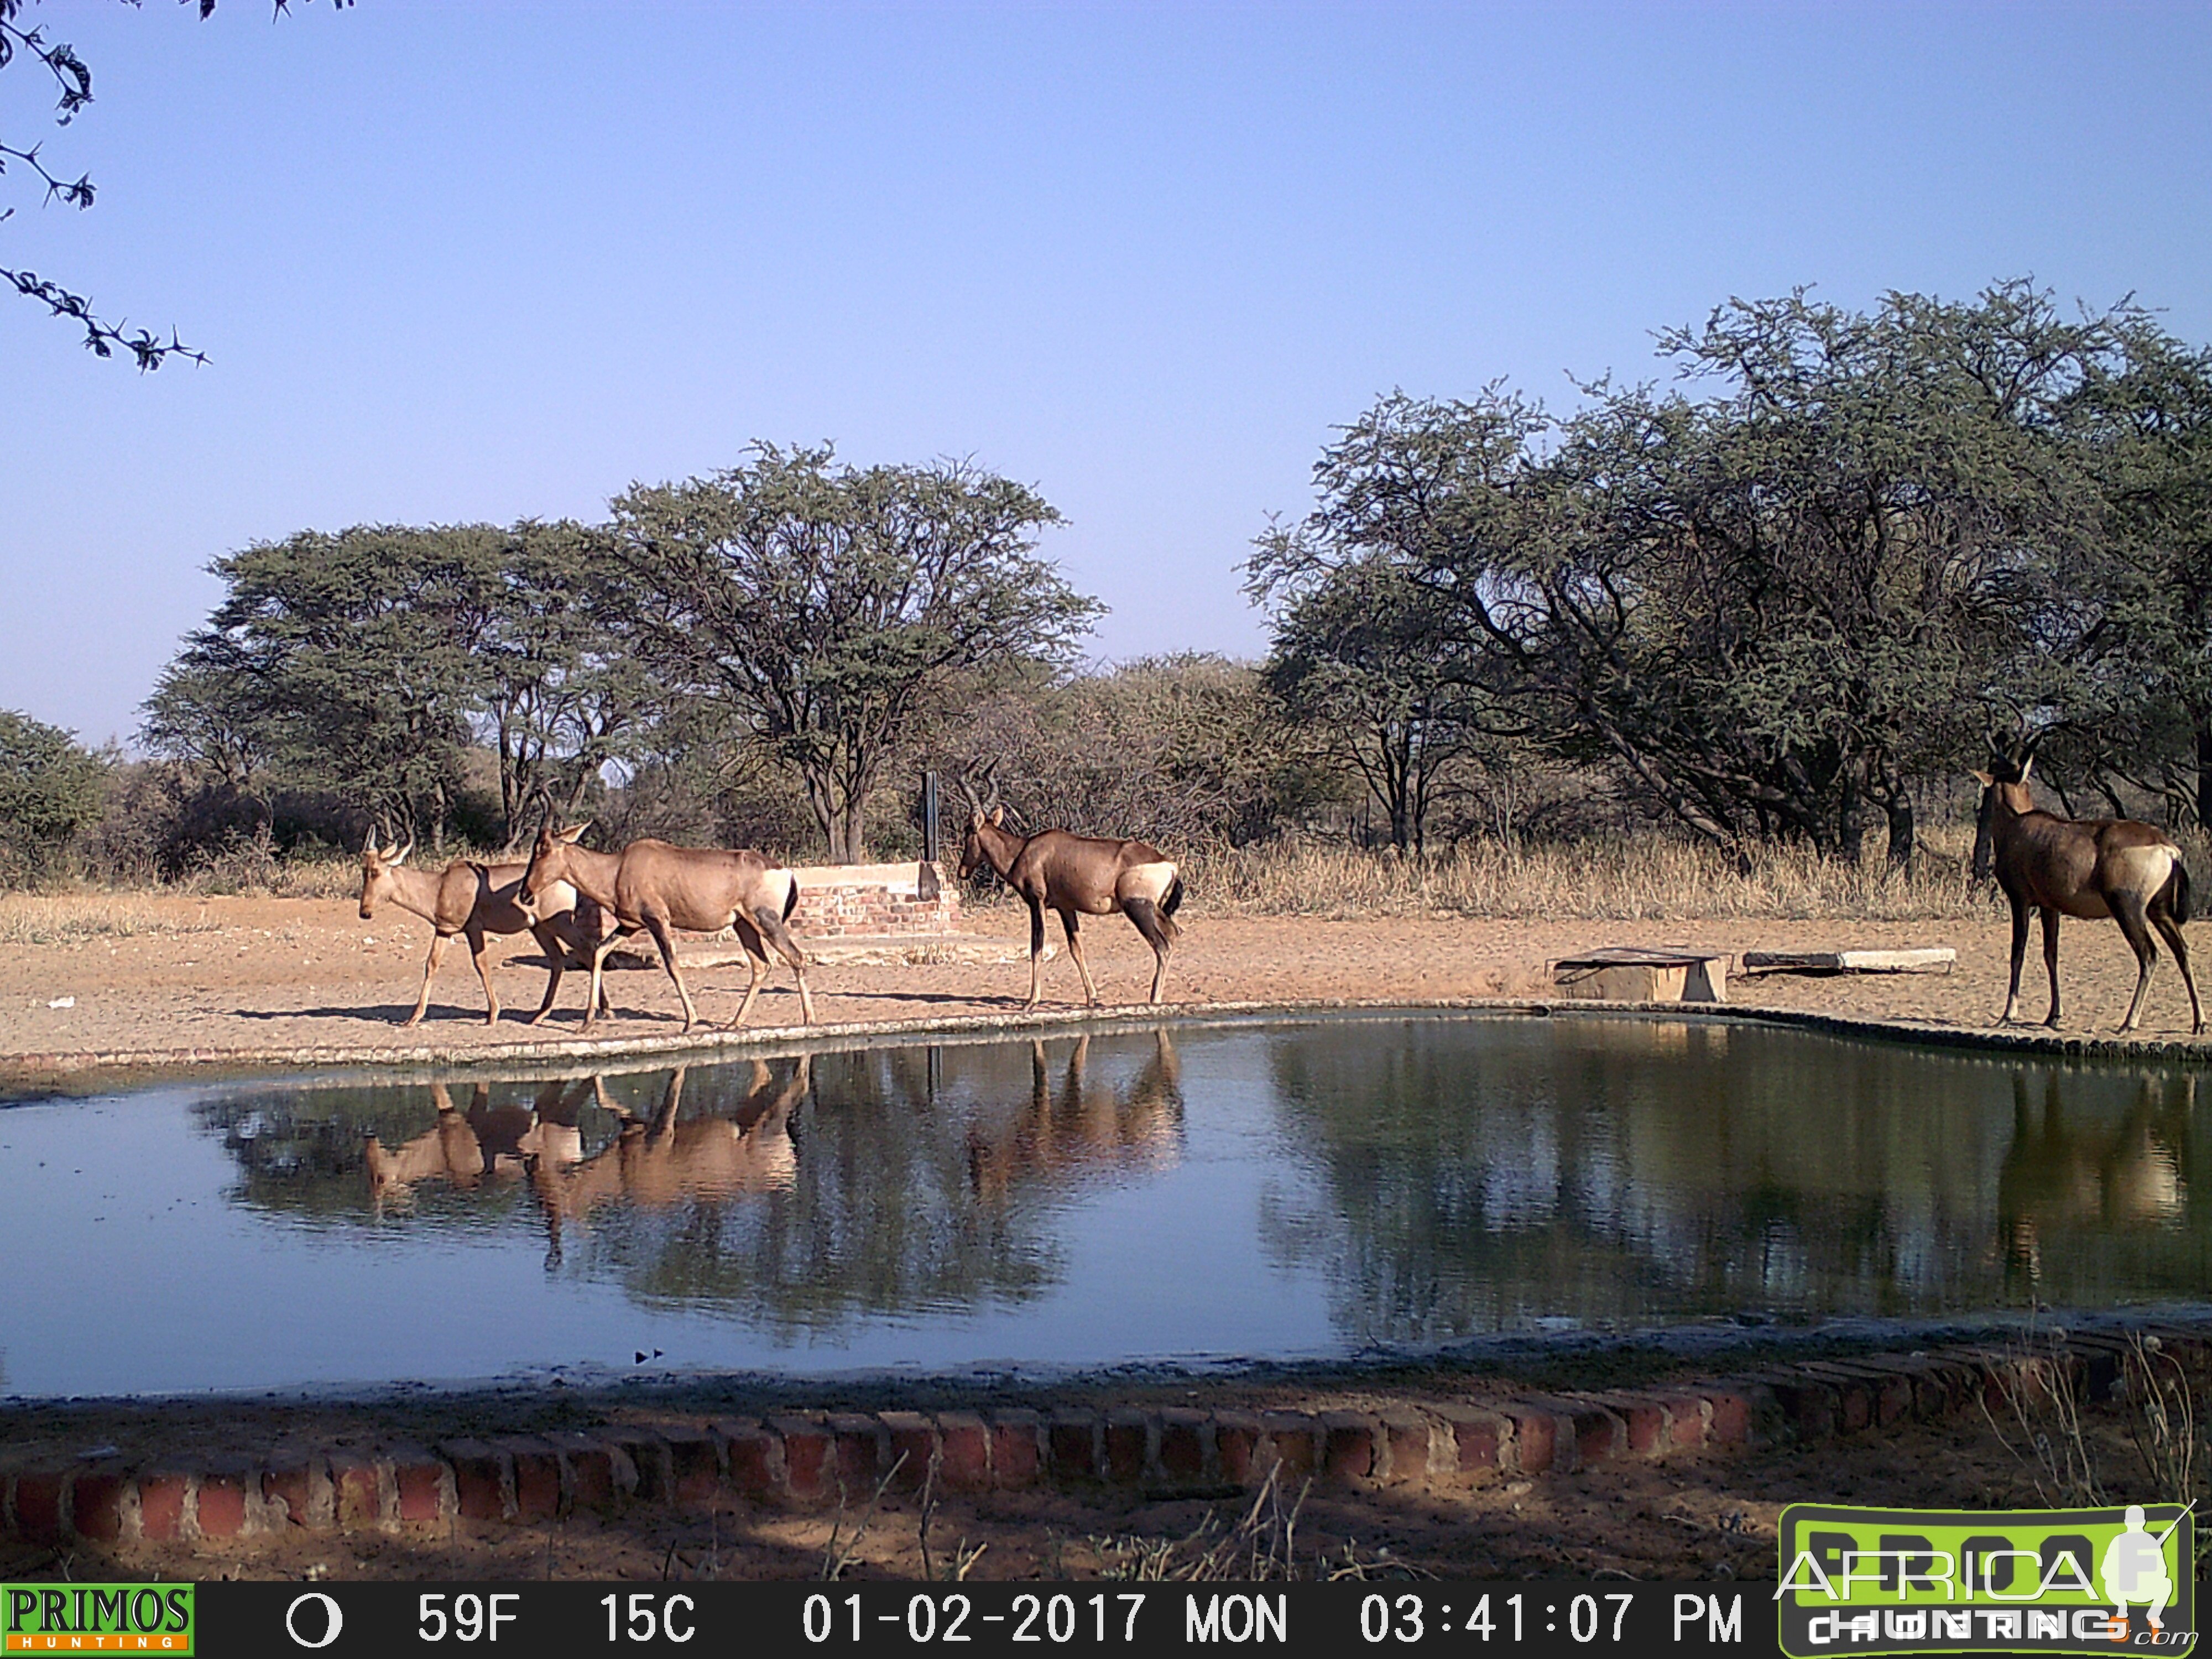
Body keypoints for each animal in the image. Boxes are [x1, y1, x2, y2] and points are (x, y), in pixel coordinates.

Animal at [358, 845, 611, 1026]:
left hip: (559, 923)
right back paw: (540, 1015)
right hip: (539, 927)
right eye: (364, 870)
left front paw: (492, 1016)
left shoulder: (474, 929)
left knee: (589, 949)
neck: (440, 885)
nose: (365, 912)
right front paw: (412, 1019)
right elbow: (431, 965)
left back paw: (605, 1010)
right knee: (558, 959)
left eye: (375, 871)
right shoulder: (444, 930)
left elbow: (481, 964)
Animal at [513, 827, 818, 1035]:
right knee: (762, 966)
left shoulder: (658, 921)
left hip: (765, 920)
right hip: (744, 925)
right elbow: (598, 952)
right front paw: (586, 1023)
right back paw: (733, 1023)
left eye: (543, 848)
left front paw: (690, 1022)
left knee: (796, 957)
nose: (525, 894)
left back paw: (809, 1020)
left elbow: (672, 965)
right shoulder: (631, 926)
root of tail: (785, 871)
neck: (619, 867)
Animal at [956, 796, 1186, 1013]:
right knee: (1174, 932)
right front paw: (1091, 998)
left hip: (1138, 908)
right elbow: (1076, 948)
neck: (1026, 851)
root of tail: (1170, 865)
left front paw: (1031, 1002)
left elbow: (1037, 946)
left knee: (1162, 944)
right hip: (1153, 909)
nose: (963, 871)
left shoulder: (1037, 903)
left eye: (969, 830)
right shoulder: (1065, 908)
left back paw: (1154, 1001)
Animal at [1982, 757, 2203, 1040]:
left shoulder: (2020, 901)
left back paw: (2128, 1023)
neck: (2018, 824)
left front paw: (2007, 1016)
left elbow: (2017, 953)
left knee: (2150, 955)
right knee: (2182, 950)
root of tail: (2168, 848)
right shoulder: (2050, 907)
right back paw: (2199, 1022)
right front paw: (2053, 1016)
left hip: (2128, 910)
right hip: (2159, 911)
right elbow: (2051, 954)